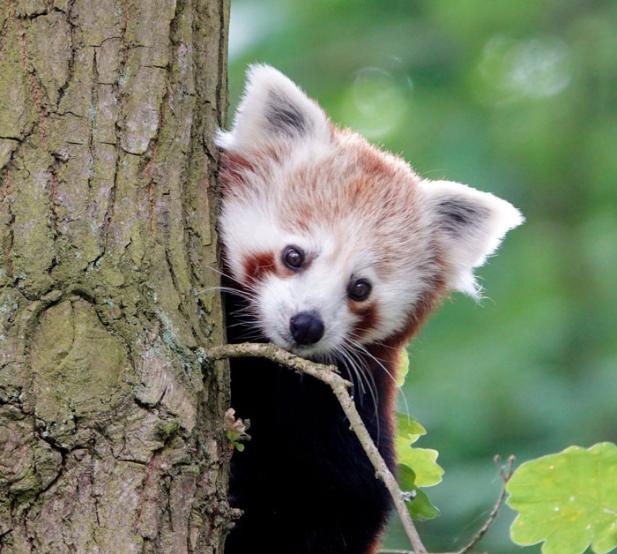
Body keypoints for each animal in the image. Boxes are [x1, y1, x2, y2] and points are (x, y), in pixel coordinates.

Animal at [215, 66, 520, 552]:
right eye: (294, 256)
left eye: (360, 288)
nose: (307, 325)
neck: (279, 373)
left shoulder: (346, 417)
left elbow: (344, 503)